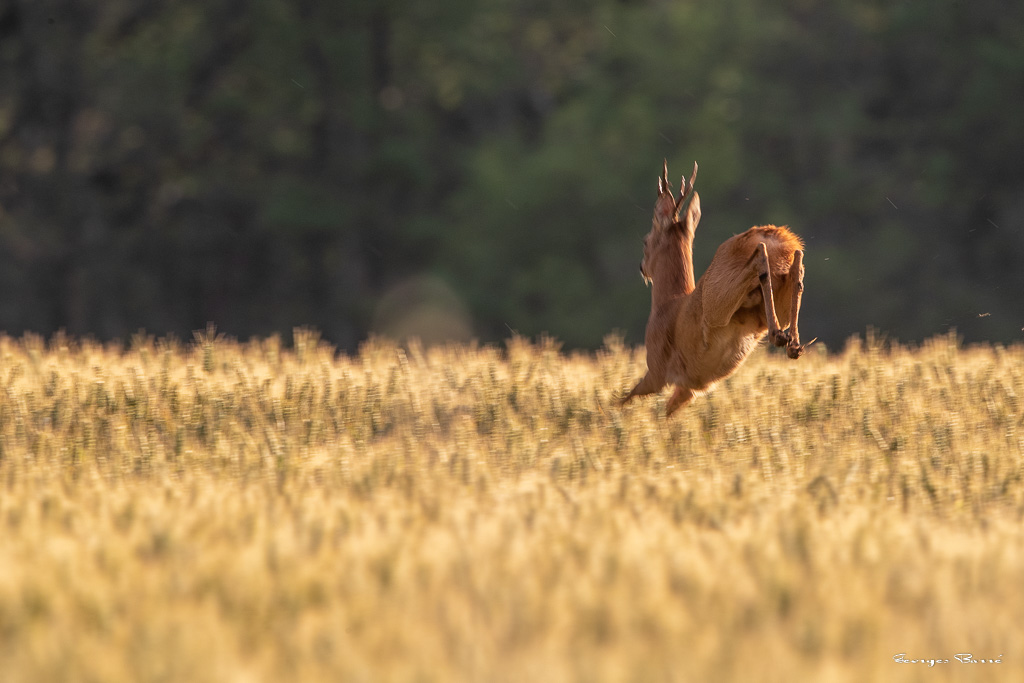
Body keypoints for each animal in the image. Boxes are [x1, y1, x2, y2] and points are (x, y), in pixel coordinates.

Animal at [620, 160, 808, 416]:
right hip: (774, 295)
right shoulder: (689, 387)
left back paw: (779, 335)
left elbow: (624, 399)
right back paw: (792, 342)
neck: (666, 303)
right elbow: (664, 414)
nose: (642, 267)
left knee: (759, 258)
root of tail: (781, 238)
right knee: (796, 269)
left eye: (645, 241)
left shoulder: (657, 369)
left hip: (716, 303)